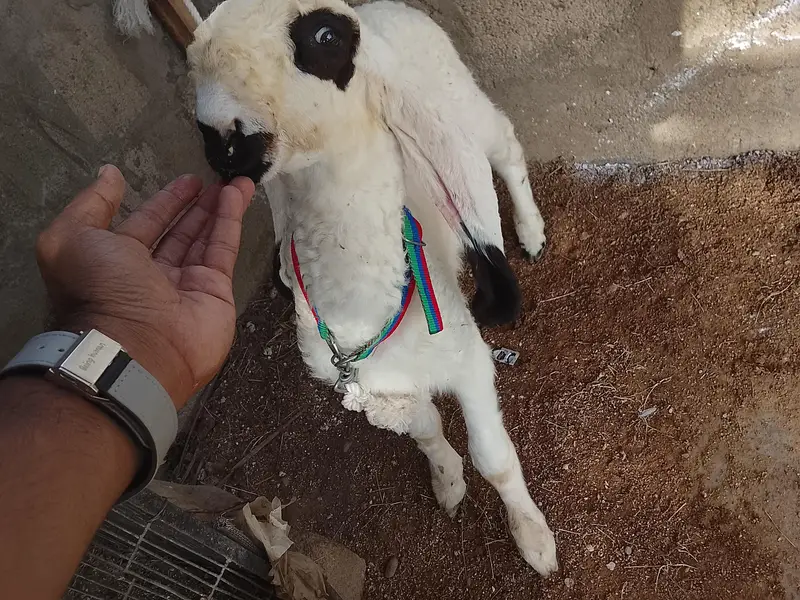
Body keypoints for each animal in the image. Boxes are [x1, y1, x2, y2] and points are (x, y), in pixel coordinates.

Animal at [115, 0, 557, 576]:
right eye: (195, 55)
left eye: (324, 37)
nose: (222, 139)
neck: (359, 311)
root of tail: (380, 6)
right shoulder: (384, 387)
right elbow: (425, 431)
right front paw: (447, 482)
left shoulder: (469, 360)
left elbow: (494, 459)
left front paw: (535, 542)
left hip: (458, 102)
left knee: (503, 143)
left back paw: (530, 231)